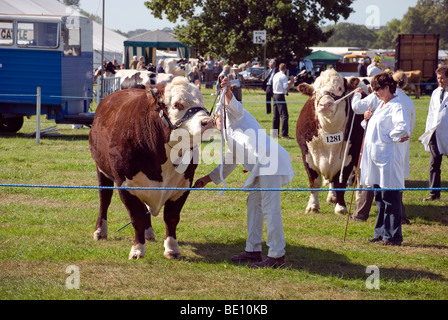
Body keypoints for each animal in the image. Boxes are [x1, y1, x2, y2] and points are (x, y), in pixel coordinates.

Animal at [90, 77, 214, 260]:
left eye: (202, 101)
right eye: (177, 105)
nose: (208, 121)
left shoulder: (183, 185)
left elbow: (171, 217)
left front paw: (171, 248)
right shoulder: (125, 185)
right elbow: (137, 217)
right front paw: (137, 249)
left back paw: (148, 233)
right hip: (102, 170)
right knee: (104, 200)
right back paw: (100, 231)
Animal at [296, 69, 366, 214]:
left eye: (339, 88)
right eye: (315, 91)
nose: (325, 104)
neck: (329, 130)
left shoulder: (349, 156)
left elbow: (341, 182)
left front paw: (341, 207)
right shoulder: (307, 154)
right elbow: (315, 181)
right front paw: (312, 206)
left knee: (358, 175)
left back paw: (358, 196)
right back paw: (332, 197)